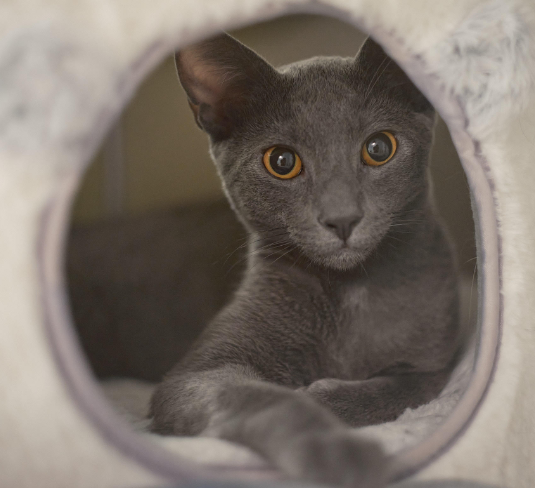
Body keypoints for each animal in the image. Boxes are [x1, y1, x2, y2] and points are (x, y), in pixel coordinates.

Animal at [151, 34, 460, 488]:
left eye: (379, 148)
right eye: (281, 161)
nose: (342, 218)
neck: (350, 291)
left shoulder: (435, 364)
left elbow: (397, 389)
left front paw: (326, 395)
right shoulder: (194, 374)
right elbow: (259, 398)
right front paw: (338, 454)